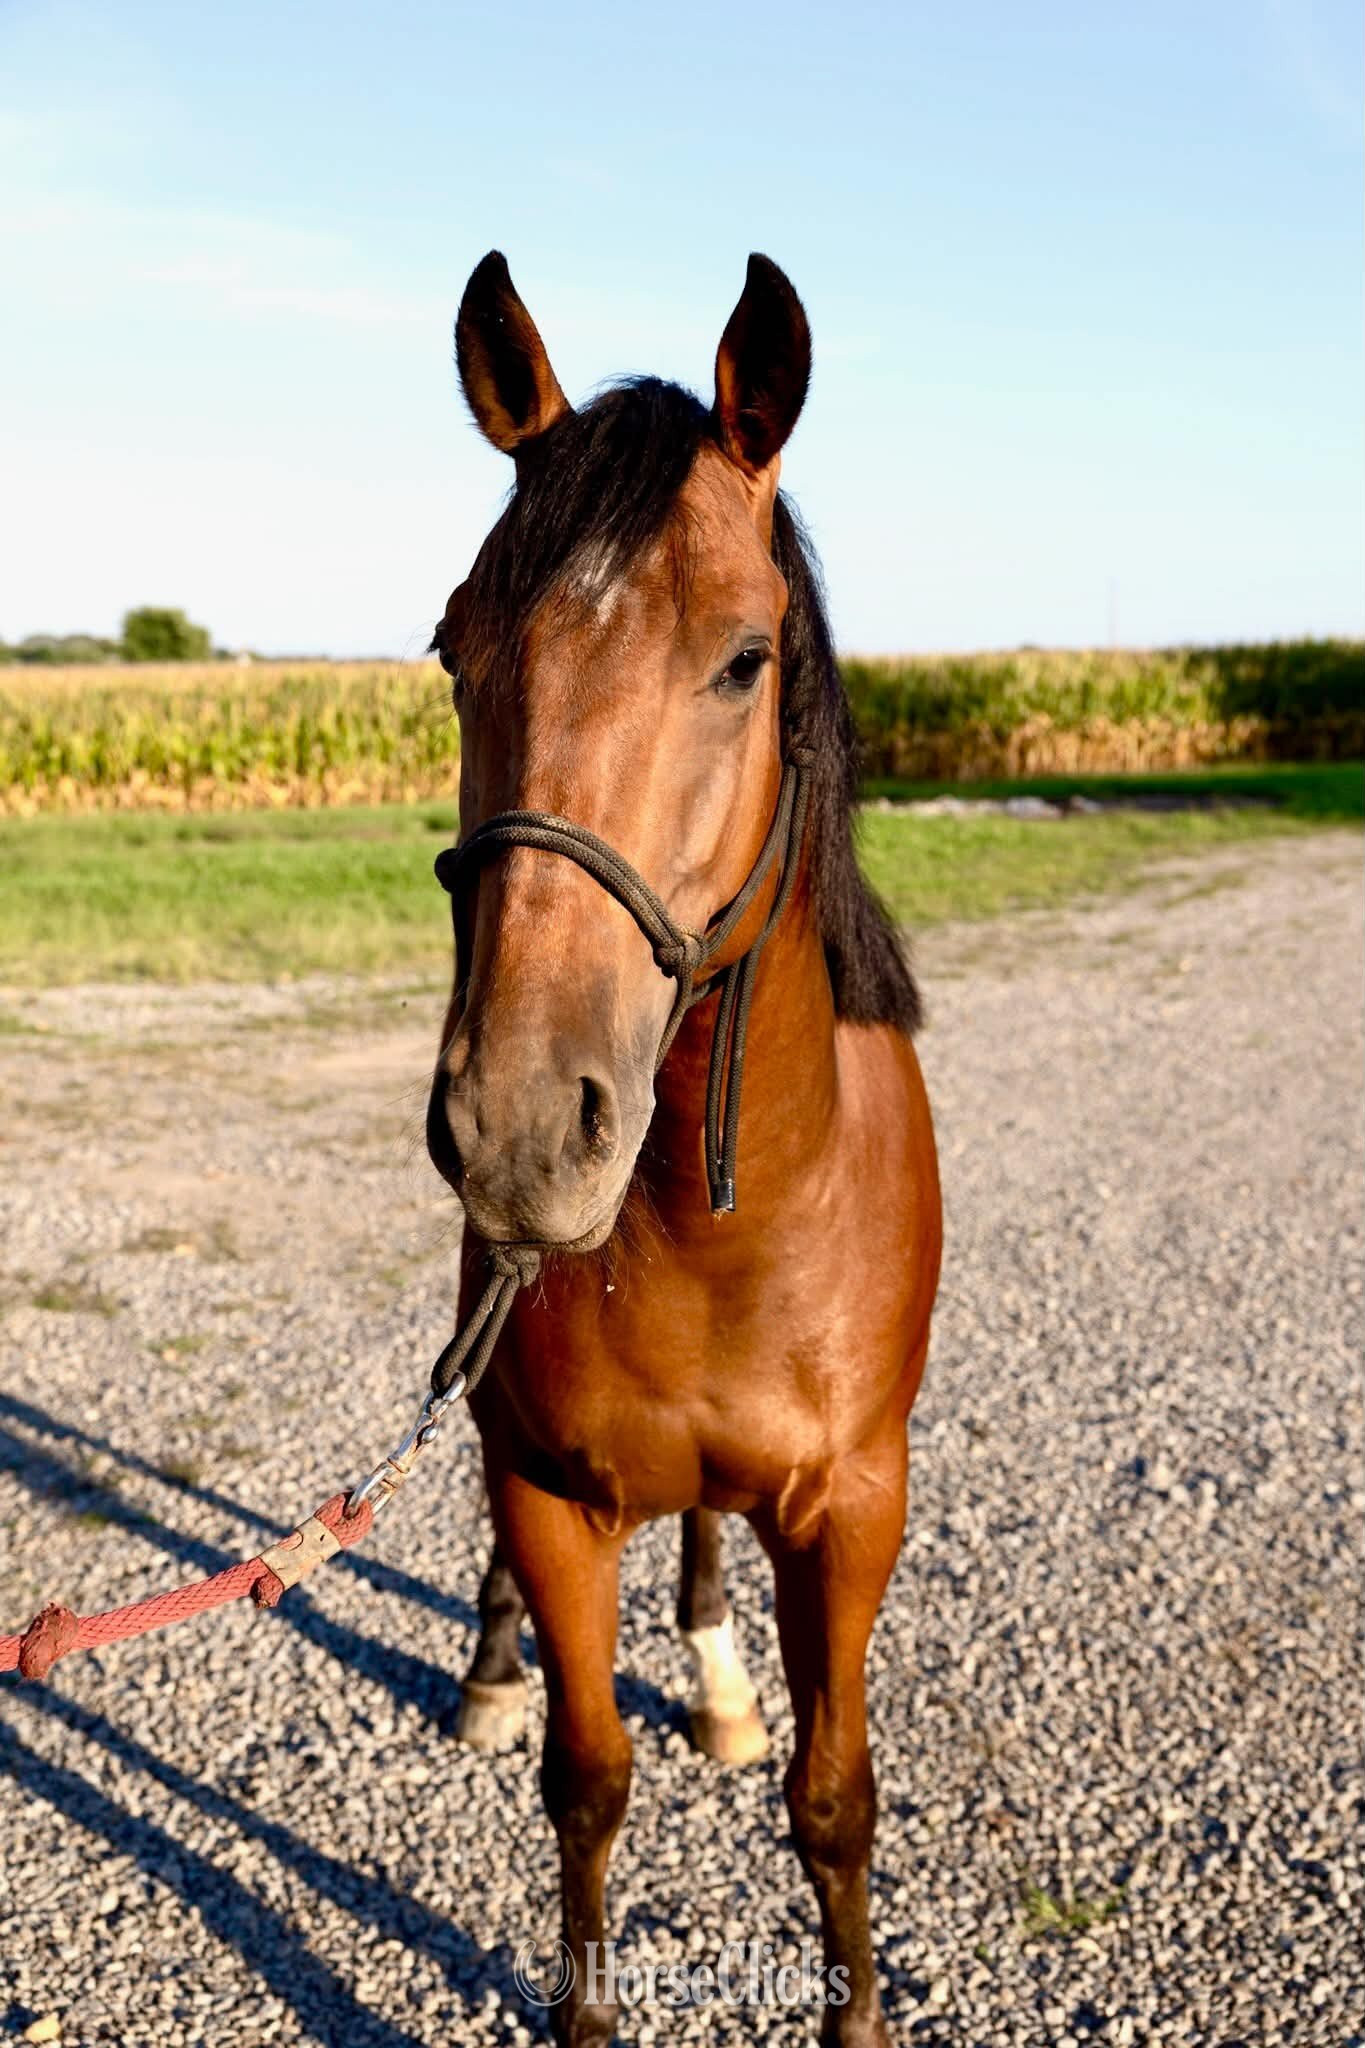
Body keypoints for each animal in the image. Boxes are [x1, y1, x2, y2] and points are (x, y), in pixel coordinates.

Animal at [425, 250, 942, 2046]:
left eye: (743, 658)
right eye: (452, 649)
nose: (521, 1126)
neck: (732, 1224)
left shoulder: (853, 1509)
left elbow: (835, 1798)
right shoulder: (544, 1490)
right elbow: (586, 1782)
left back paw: (718, 1677)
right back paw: (491, 1666)